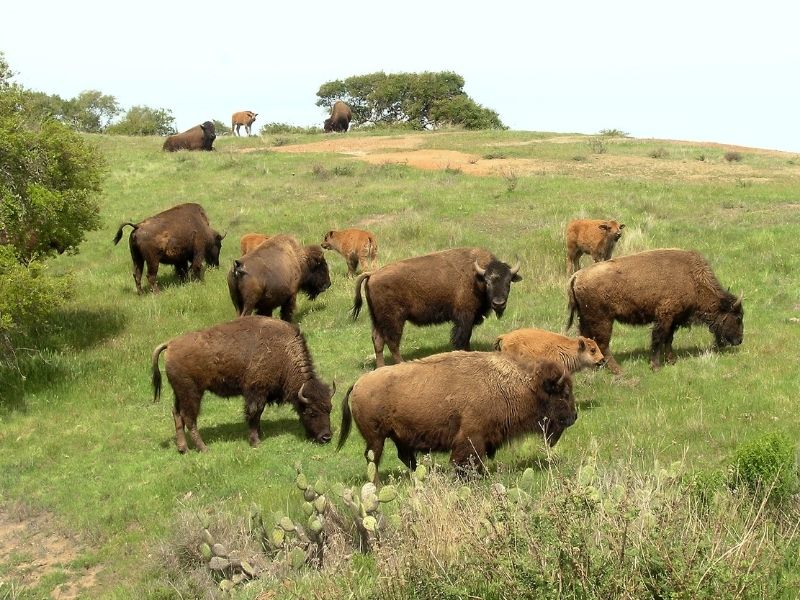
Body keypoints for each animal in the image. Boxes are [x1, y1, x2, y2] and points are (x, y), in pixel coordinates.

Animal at [151, 316, 334, 452]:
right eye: (311, 412)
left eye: (329, 409)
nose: (326, 437)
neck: (284, 352)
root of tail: (170, 344)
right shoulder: (255, 392)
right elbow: (253, 413)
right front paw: (255, 441)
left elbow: (258, 415)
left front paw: (260, 434)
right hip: (192, 393)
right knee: (189, 418)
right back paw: (204, 448)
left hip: (180, 393)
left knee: (177, 414)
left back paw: (183, 449)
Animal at [336, 350, 576, 480]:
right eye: (563, 393)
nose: (574, 417)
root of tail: (358, 383)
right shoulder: (471, 437)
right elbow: (466, 458)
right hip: (376, 437)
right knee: (373, 459)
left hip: (397, 437)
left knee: (404, 457)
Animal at [354, 246, 520, 368]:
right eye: (487, 282)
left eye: (508, 282)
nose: (499, 303)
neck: (476, 276)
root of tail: (372, 274)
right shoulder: (465, 317)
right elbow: (462, 338)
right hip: (394, 319)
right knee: (392, 342)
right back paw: (401, 363)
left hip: (376, 319)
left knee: (378, 340)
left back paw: (381, 367)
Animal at [568, 246, 744, 372]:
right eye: (738, 317)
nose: (739, 340)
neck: (692, 279)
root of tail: (576, 276)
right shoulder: (664, 317)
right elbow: (658, 339)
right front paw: (656, 366)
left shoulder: (673, 320)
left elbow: (668, 339)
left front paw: (671, 361)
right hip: (603, 320)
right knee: (603, 344)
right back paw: (618, 370)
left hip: (585, 318)